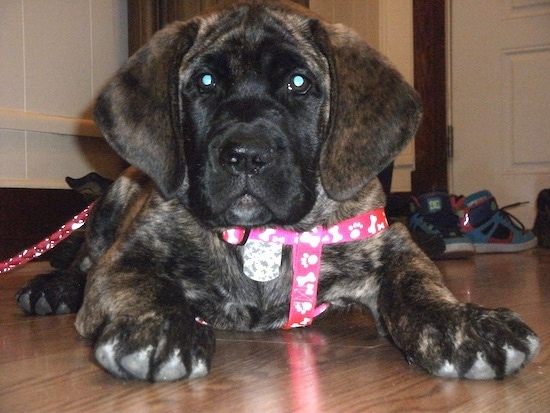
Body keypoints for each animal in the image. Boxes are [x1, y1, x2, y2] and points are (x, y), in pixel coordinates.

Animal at [15, 0, 540, 380]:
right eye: (205, 81)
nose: (246, 155)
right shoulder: (129, 255)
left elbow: (419, 283)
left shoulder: (389, 242)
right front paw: (157, 329)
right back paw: (51, 288)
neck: (264, 237)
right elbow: (137, 283)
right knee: (84, 259)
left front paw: (463, 325)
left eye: (299, 83)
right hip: (115, 200)